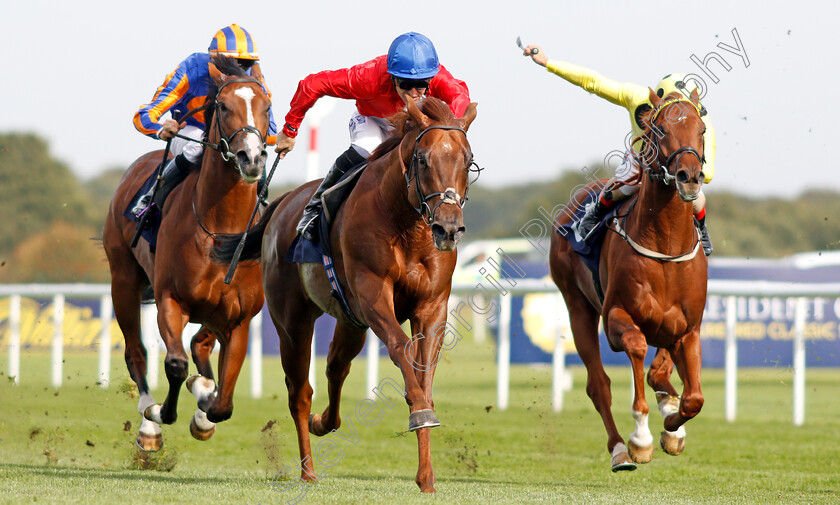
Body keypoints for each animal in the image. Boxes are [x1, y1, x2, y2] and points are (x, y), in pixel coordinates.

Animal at [102, 59, 270, 448]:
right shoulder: (170, 299)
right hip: (123, 281)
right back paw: (148, 422)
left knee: (199, 345)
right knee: (137, 353)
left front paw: (204, 406)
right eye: (222, 106)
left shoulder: (240, 318)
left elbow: (222, 403)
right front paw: (159, 414)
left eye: (268, 107)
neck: (221, 231)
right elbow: (175, 365)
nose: (252, 158)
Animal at [215, 96, 480, 490]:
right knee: (300, 393)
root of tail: (283, 202)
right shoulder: (373, 296)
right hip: (292, 321)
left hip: (351, 321)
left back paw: (324, 422)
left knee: (336, 365)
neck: (407, 225)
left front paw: (427, 476)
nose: (448, 229)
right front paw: (418, 411)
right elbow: (401, 348)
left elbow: (423, 370)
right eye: (422, 159)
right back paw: (308, 470)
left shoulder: (432, 306)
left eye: (467, 159)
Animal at [552, 88, 708, 470]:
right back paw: (620, 450)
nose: (690, 177)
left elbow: (693, 398)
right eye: (660, 130)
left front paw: (672, 425)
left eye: (701, 130)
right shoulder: (616, 319)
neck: (666, 247)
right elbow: (636, 348)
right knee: (598, 385)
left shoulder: (688, 328)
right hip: (577, 308)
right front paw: (642, 438)